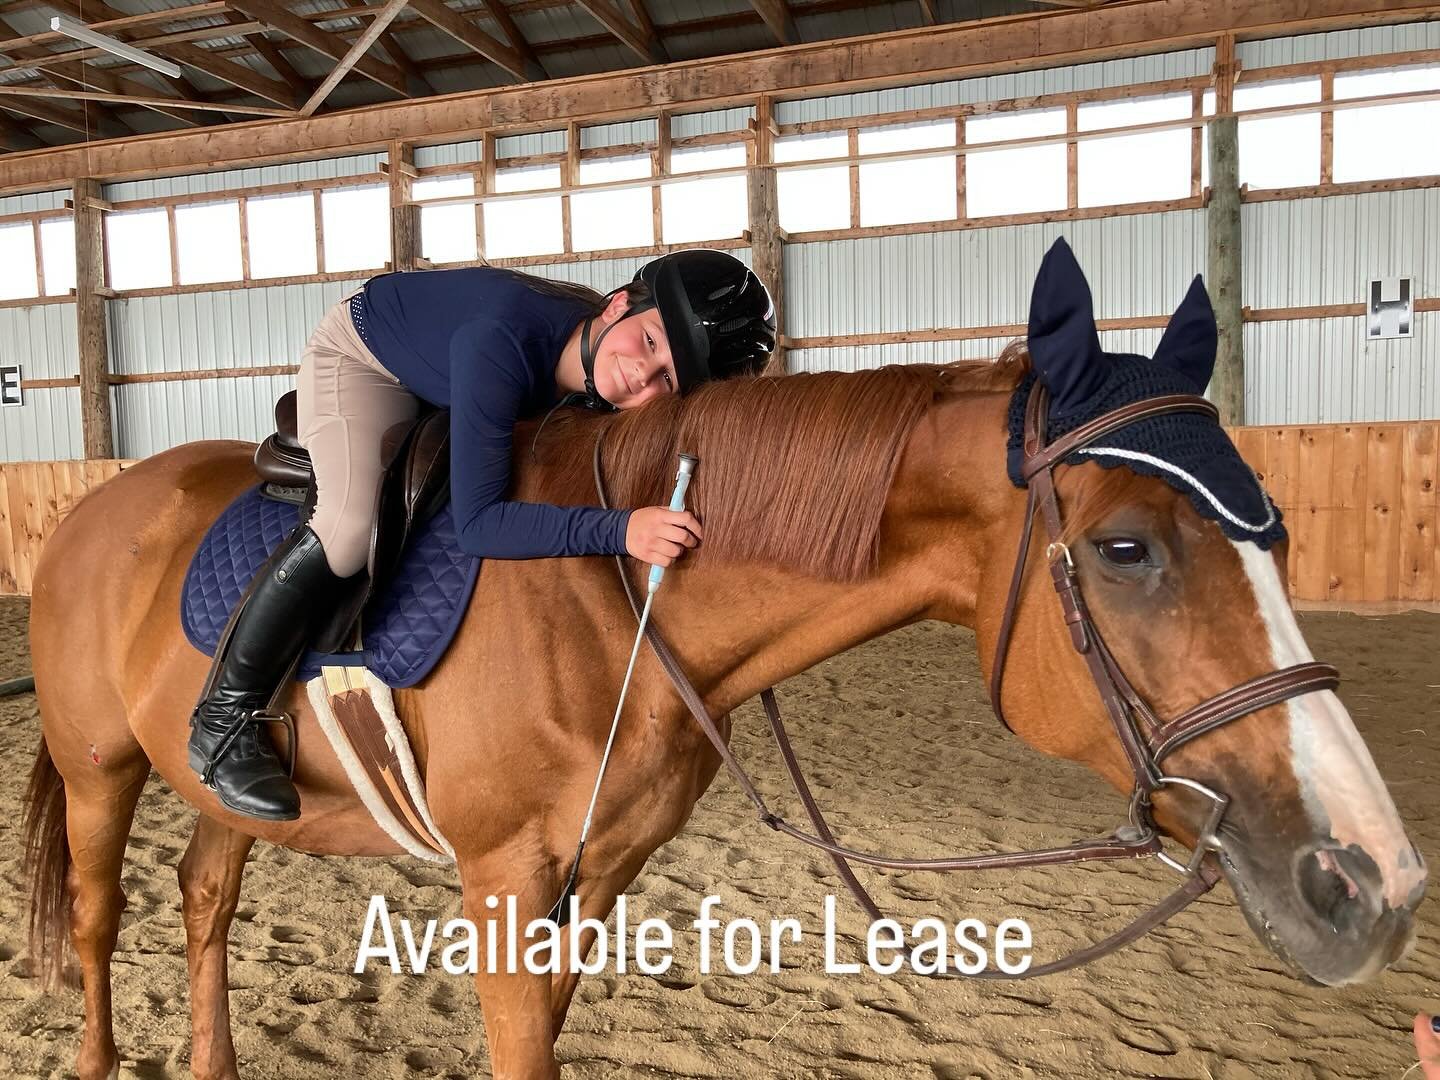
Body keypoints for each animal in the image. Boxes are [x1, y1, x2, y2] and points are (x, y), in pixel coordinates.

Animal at [22, 340, 1426, 1079]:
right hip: (100, 769)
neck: (611, 589)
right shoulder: (505, 881)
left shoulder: (596, 878)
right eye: (1128, 550)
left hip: (230, 791)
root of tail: (93, 510)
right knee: (100, 920)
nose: (1373, 879)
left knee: (206, 894)